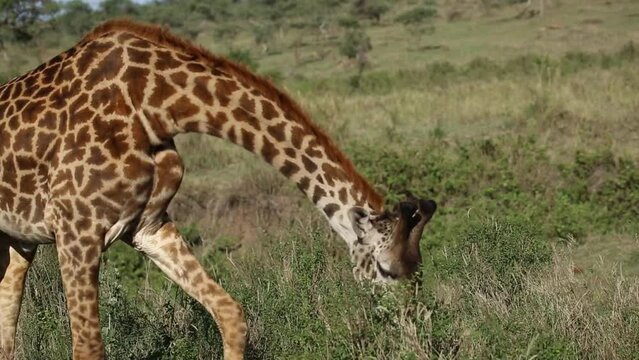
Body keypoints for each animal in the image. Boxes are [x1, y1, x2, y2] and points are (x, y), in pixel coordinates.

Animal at [0, 20, 436, 360]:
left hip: (18, 240)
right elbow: (88, 348)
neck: (156, 106)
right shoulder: (77, 231)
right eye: (386, 270)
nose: (412, 334)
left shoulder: (147, 227)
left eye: (419, 271)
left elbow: (231, 314)